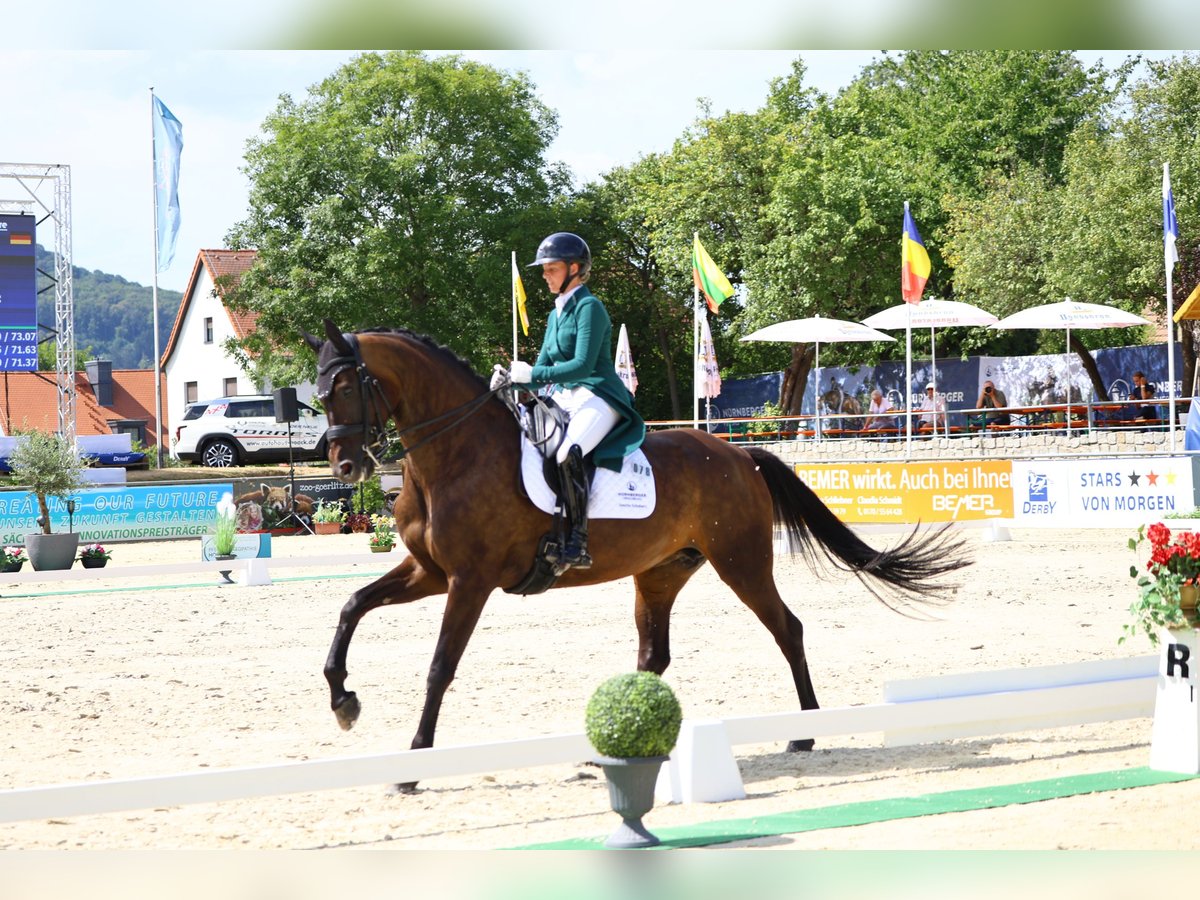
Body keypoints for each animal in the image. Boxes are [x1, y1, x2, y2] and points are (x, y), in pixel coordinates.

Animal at [304, 321, 969, 782]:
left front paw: (413, 763)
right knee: (656, 653)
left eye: (347, 385)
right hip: (661, 572)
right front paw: (343, 701)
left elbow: (440, 666)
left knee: (788, 629)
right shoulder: (429, 571)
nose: (344, 466)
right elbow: (351, 605)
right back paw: (617, 741)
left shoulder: (469, 580)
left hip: (741, 562)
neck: (456, 453)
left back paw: (804, 733)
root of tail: (739, 453)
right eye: (318, 392)